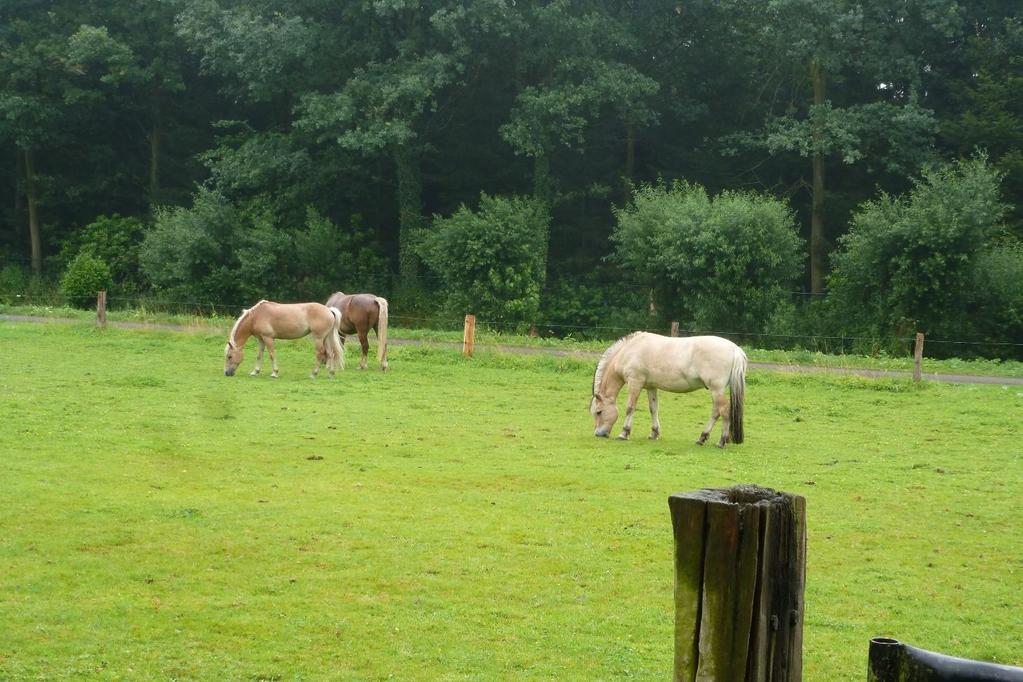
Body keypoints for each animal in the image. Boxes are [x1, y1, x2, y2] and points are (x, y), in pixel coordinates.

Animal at [589, 331, 748, 447]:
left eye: (599, 412)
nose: (598, 433)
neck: (630, 350)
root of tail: (735, 349)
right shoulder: (651, 387)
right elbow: (653, 409)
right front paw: (654, 433)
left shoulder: (635, 383)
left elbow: (630, 408)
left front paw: (624, 433)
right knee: (716, 412)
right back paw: (702, 438)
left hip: (716, 390)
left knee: (724, 411)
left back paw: (721, 441)